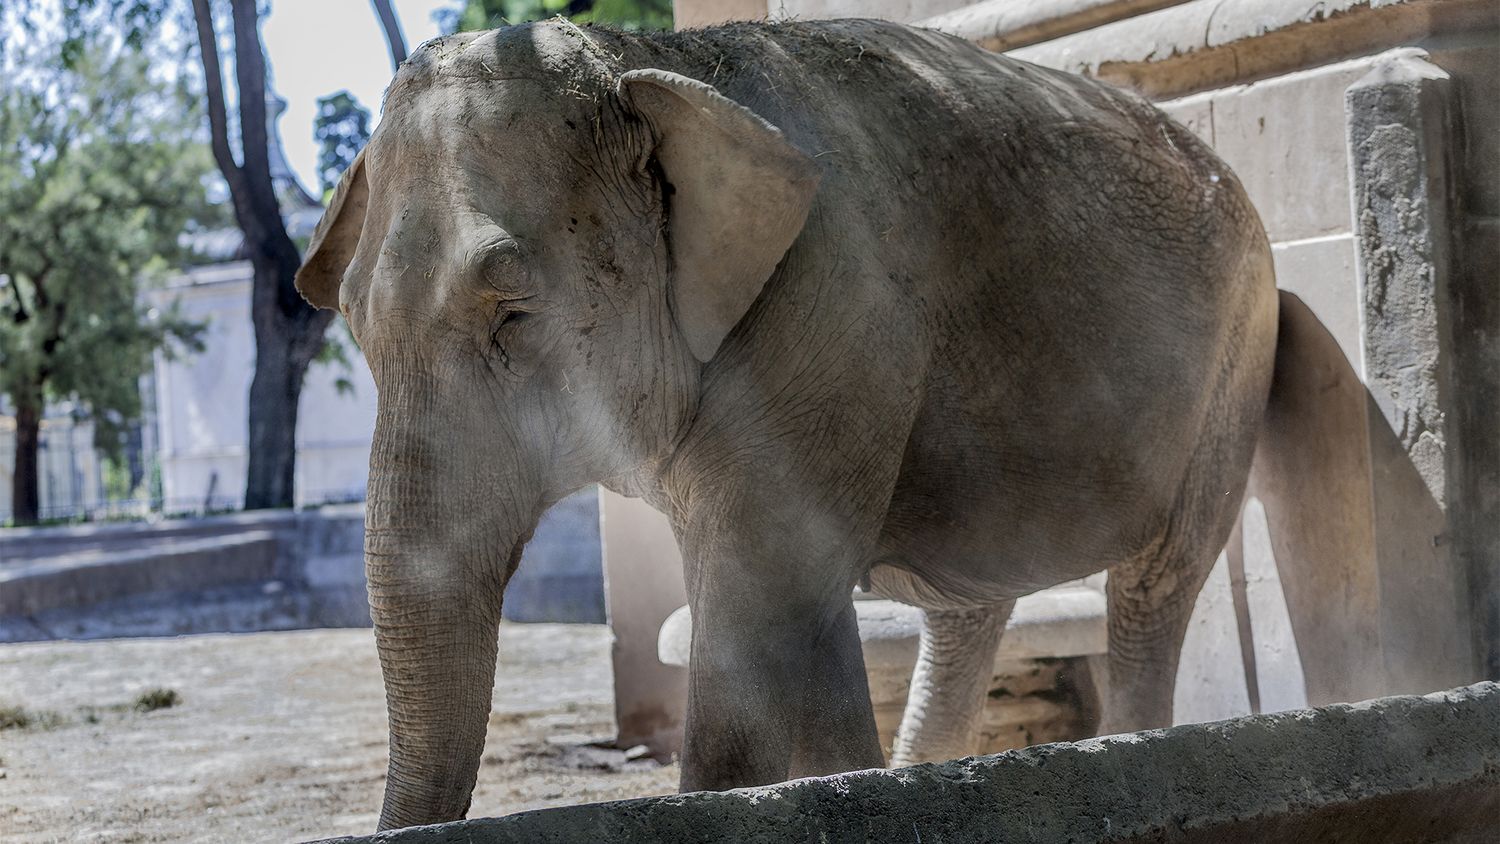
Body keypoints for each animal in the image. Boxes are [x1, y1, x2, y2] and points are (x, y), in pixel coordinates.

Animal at [286, 16, 1308, 827]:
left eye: (510, 314)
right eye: (355, 327)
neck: (657, 64)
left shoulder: (830, 319)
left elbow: (755, 615)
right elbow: (800, 605)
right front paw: (848, 791)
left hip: (1240, 347)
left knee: (1157, 583)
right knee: (966, 609)